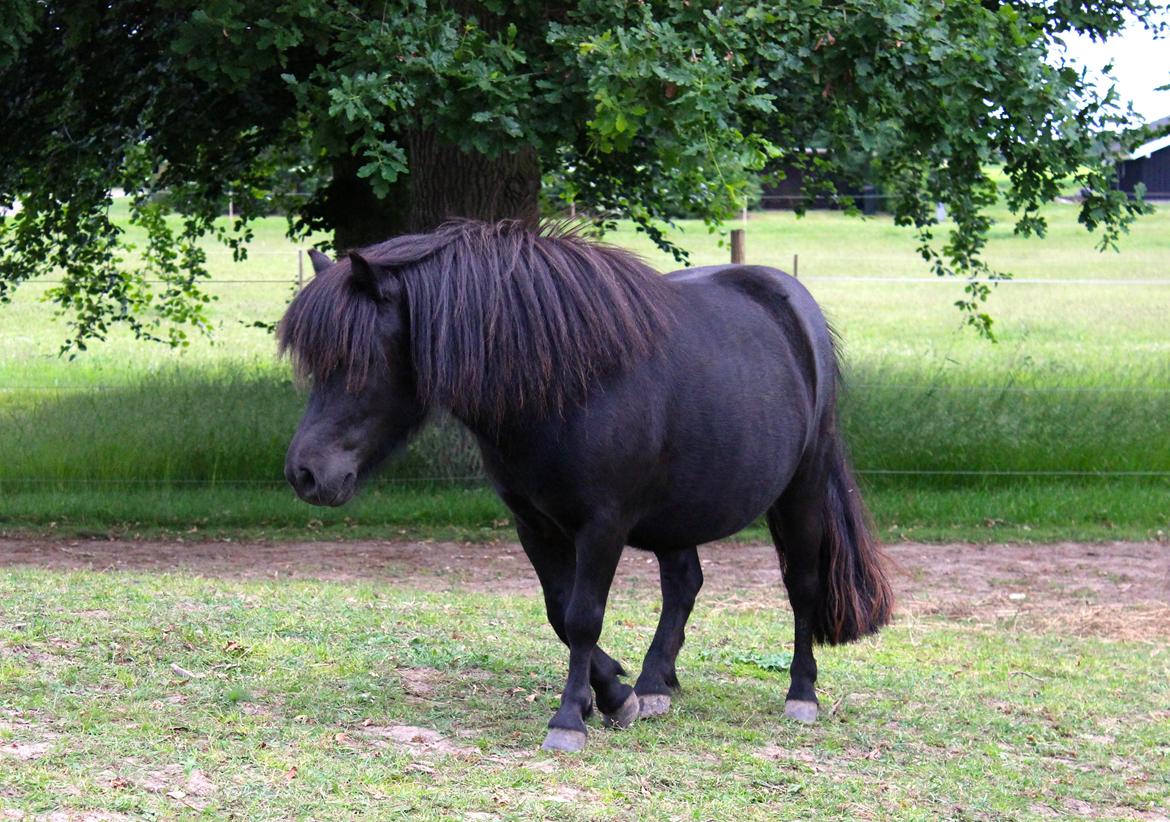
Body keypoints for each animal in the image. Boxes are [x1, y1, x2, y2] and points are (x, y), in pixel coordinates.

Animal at [278, 218, 889, 753]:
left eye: (360, 361)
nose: (305, 473)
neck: (564, 386)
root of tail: (795, 306)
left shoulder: (603, 525)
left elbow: (582, 615)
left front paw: (571, 718)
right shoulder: (534, 524)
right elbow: (558, 609)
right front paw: (615, 694)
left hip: (802, 491)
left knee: (802, 586)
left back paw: (801, 694)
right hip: (680, 512)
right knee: (683, 585)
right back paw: (654, 685)